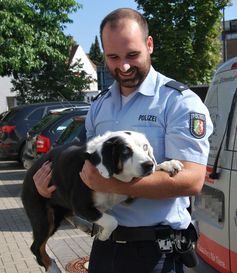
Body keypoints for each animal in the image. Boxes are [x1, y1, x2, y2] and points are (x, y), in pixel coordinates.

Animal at [21, 130, 182, 272]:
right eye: (126, 151)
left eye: (145, 147)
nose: (148, 164)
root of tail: (29, 173)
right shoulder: (81, 205)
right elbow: (112, 221)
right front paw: (104, 235)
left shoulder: (131, 192)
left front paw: (168, 164)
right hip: (44, 218)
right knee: (36, 247)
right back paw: (52, 267)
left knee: (66, 213)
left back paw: (83, 224)